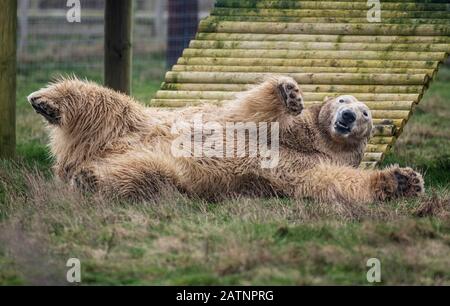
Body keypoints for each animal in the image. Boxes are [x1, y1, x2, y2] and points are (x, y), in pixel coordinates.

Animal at [27, 75, 422, 202]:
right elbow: (246, 113)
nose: (348, 116)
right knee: (100, 100)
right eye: (342, 100)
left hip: (154, 164)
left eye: (366, 113)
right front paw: (289, 93)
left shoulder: (311, 163)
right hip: (137, 121)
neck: (312, 141)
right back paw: (46, 101)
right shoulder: (272, 126)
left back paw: (87, 178)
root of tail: (74, 157)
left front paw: (404, 180)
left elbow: (330, 180)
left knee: (139, 175)